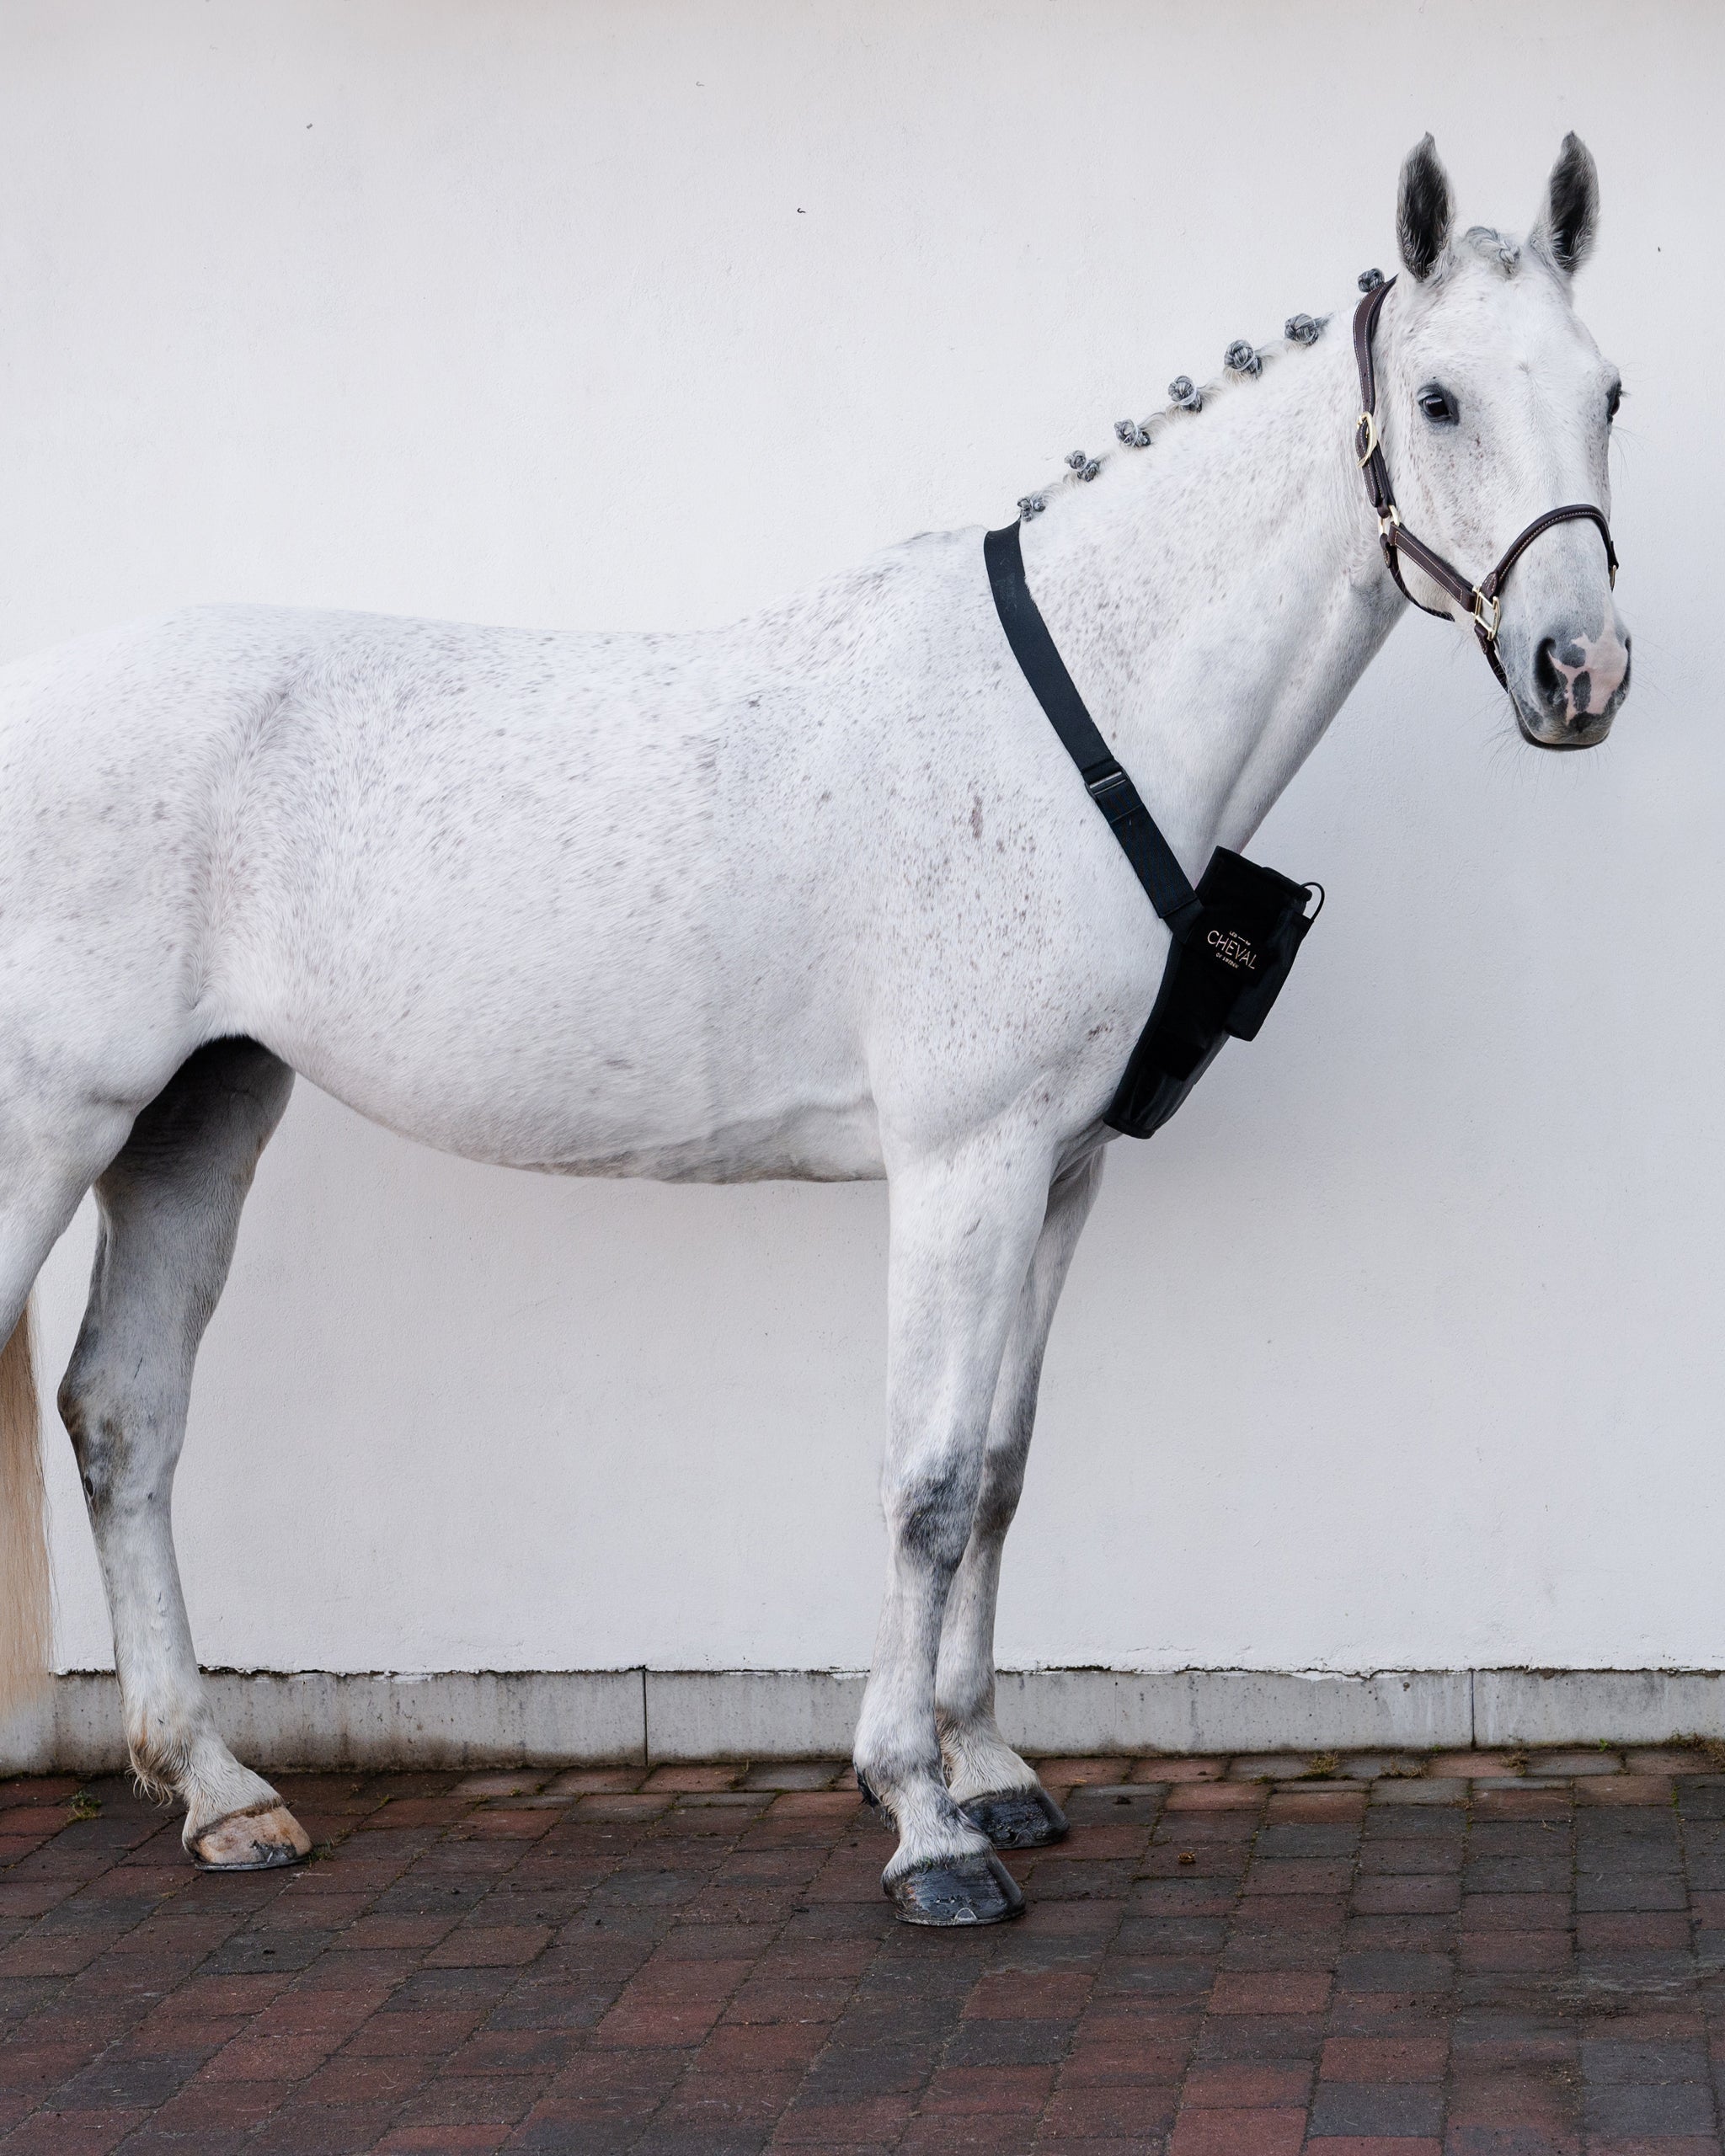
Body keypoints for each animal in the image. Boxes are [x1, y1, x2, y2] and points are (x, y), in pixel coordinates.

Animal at [0, 135, 1630, 1926]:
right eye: (1437, 399)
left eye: (1607, 391)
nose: (1579, 671)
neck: (1079, 718)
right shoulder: (961, 1163)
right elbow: (925, 1481)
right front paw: (921, 1823)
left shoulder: (1058, 1173)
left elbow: (1002, 1466)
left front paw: (990, 1772)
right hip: (49, 1124)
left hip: (197, 1112)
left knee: (125, 1414)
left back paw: (220, 1793)